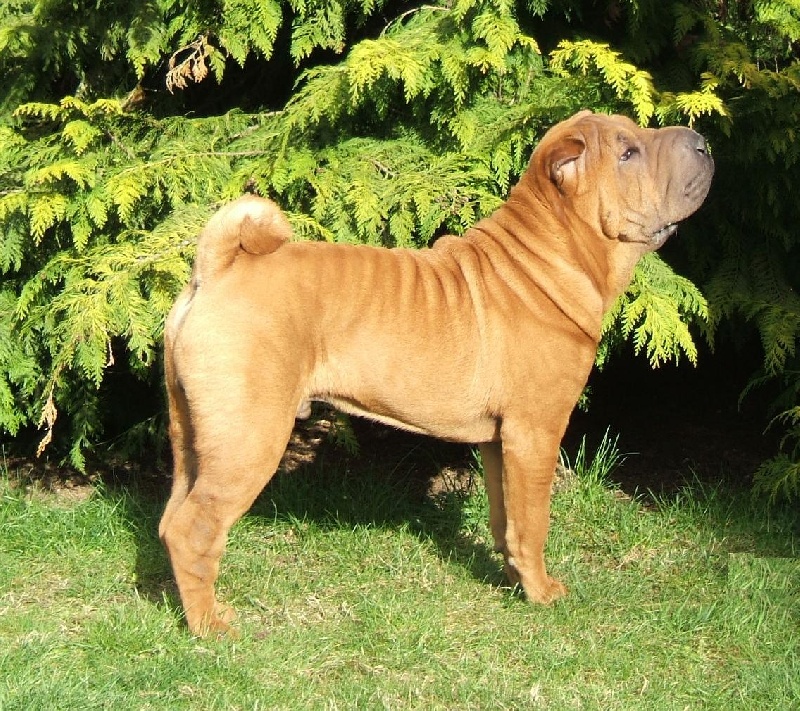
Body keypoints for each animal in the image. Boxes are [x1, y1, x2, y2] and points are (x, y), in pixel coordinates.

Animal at [159, 110, 714, 635]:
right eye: (627, 152)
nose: (704, 142)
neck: (549, 258)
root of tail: (219, 267)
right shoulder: (534, 433)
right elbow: (533, 521)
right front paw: (541, 592)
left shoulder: (499, 442)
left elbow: (505, 518)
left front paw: (512, 579)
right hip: (249, 437)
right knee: (195, 529)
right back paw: (211, 626)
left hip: (194, 435)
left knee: (171, 520)